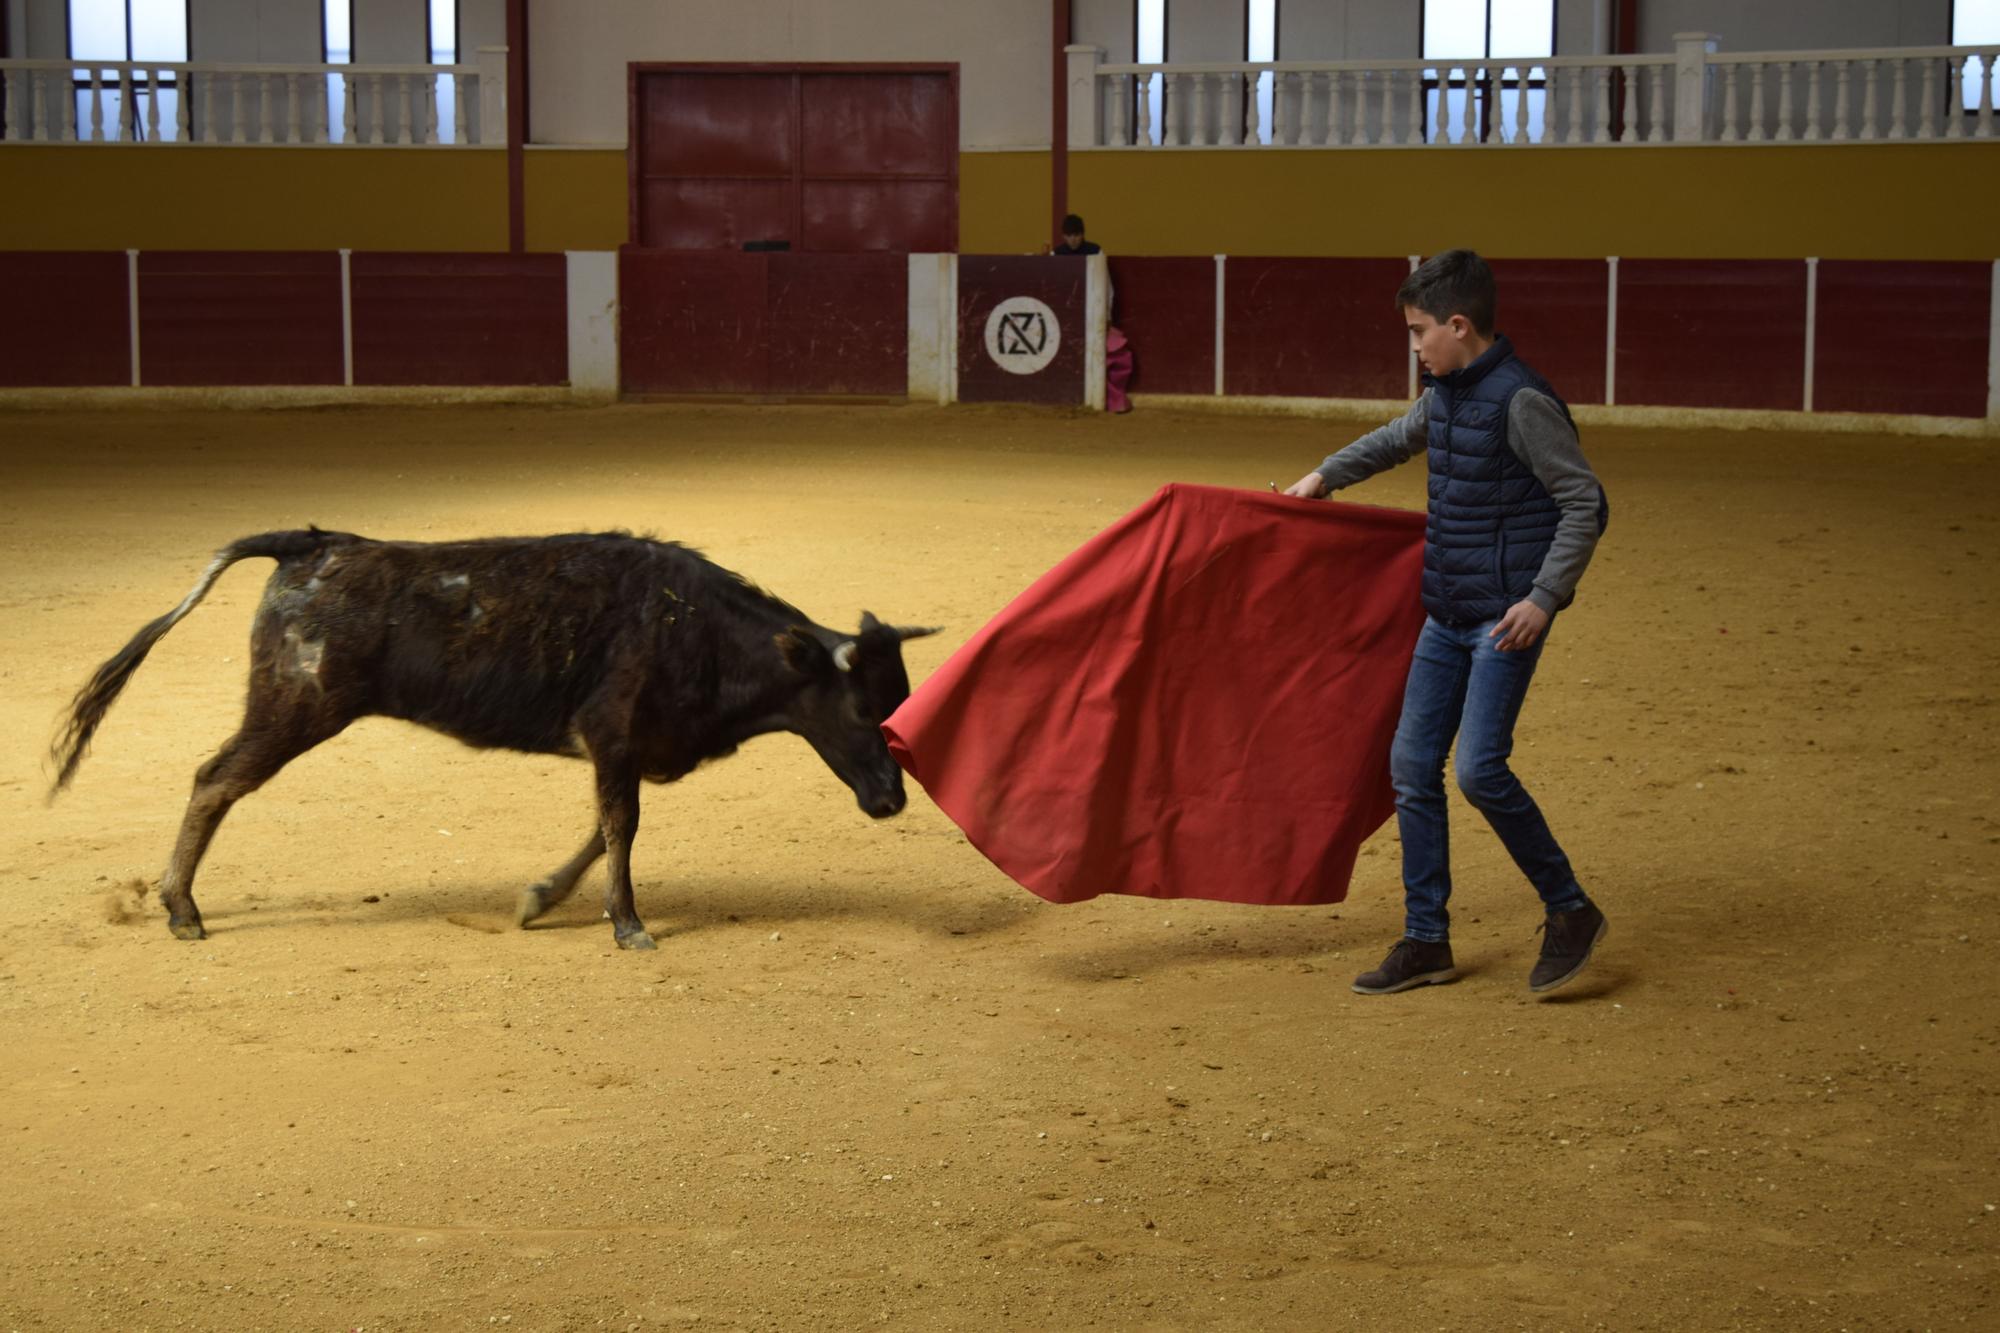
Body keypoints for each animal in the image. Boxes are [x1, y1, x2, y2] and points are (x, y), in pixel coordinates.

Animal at [48, 524, 936, 948]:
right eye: (865, 710)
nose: (891, 801)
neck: (700, 629)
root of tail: (313, 543)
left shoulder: (626, 750)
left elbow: (600, 830)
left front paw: (538, 900)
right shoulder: (613, 735)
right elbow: (622, 826)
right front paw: (629, 926)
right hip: (293, 708)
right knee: (214, 779)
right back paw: (181, 908)